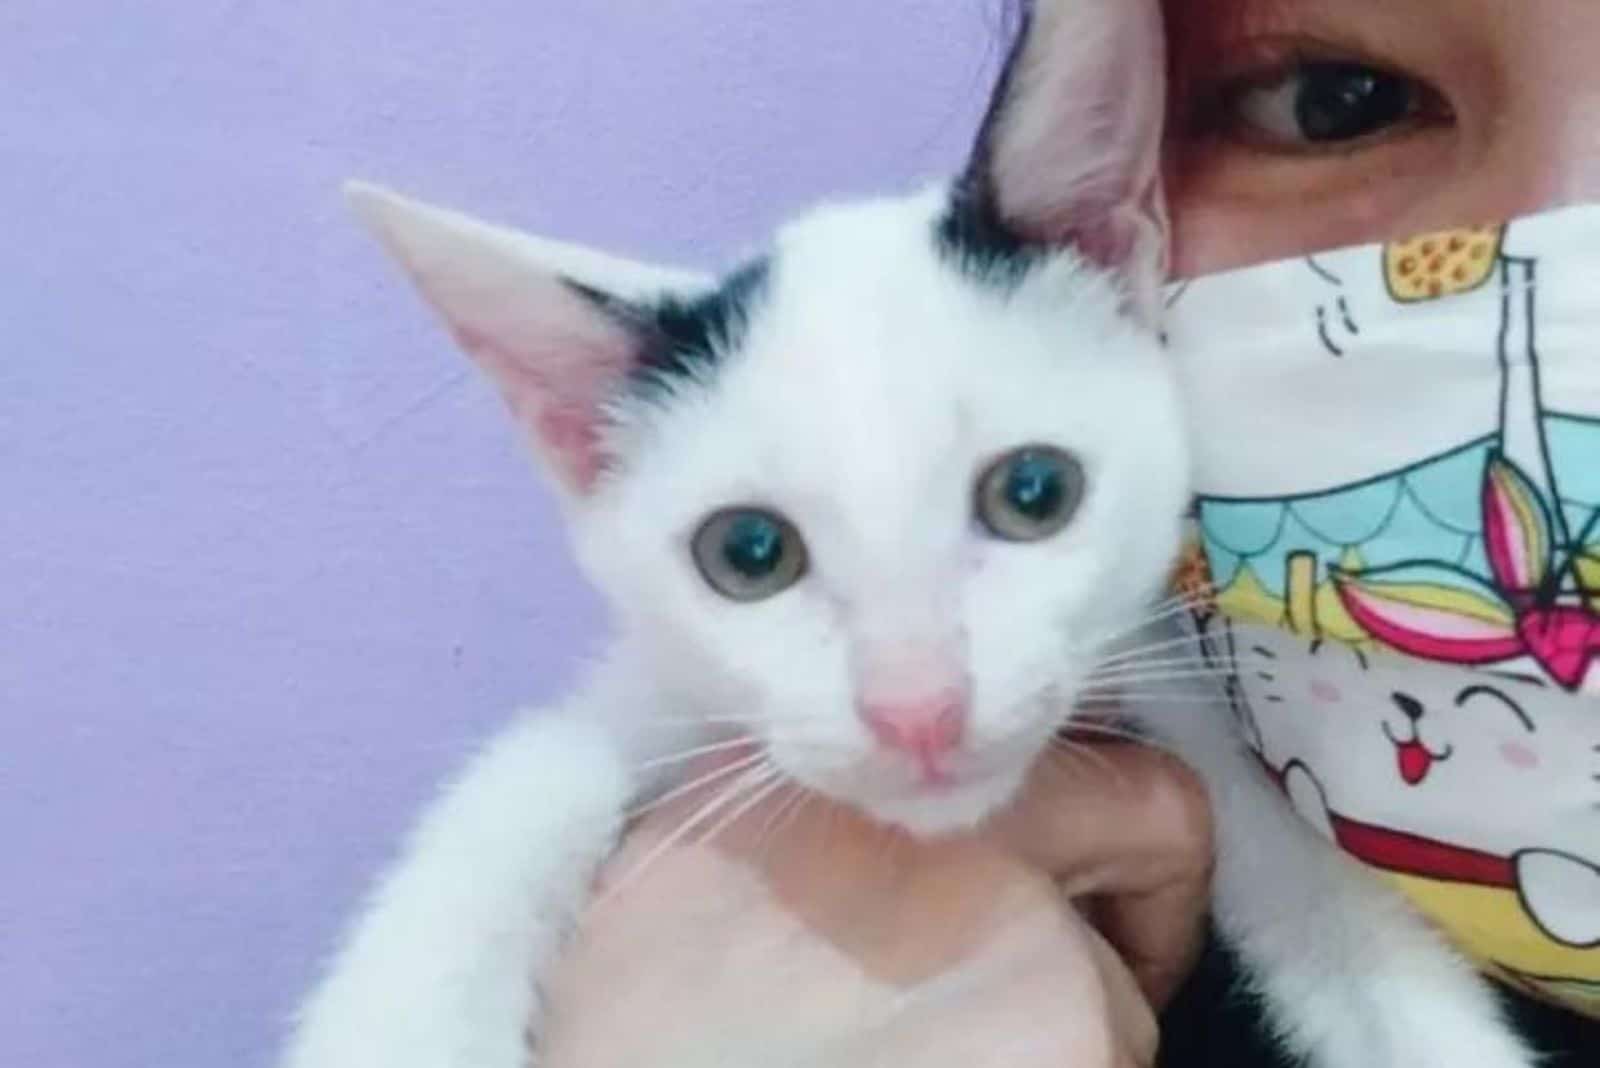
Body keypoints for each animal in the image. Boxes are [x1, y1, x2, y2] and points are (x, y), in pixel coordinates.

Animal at [284, 2, 1536, 1068]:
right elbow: (526, 780)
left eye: (1032, 491)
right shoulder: (655, 704)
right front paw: (401, 1021)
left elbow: (1347, 925)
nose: (917, 709)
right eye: (748, 555)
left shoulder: (1167, 695)